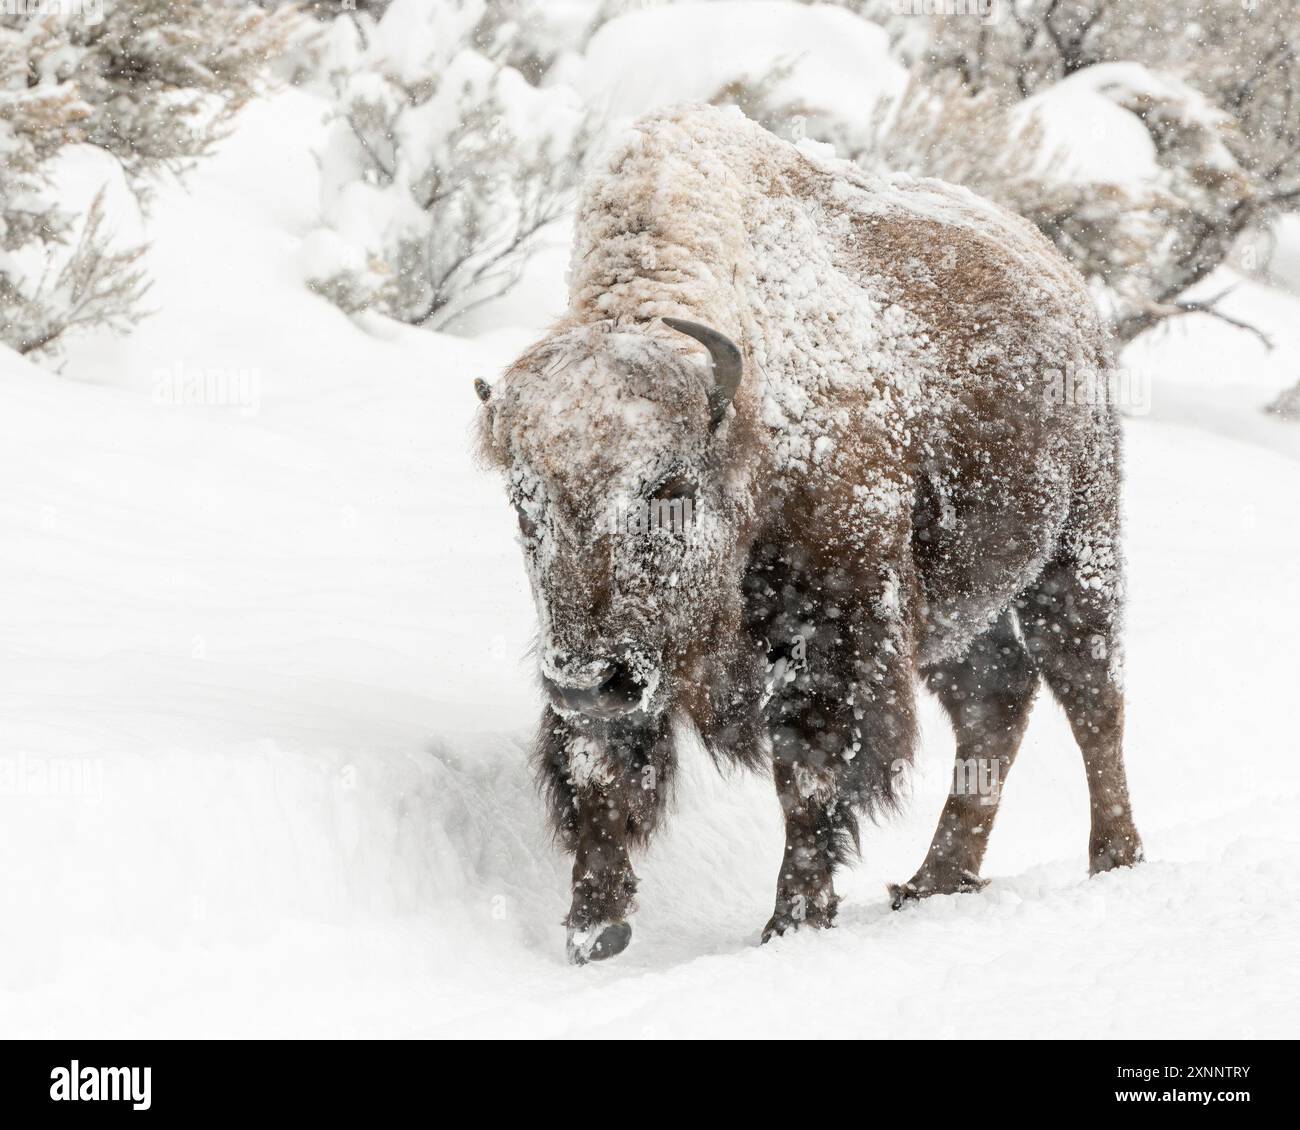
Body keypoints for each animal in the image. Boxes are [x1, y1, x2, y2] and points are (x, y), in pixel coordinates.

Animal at [475, 103, 1138, 962]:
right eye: (526, 502)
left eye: (669, 487)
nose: (589, 682)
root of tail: (1068, 288)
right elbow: (599, 770)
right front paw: (594, 926)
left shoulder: (835, 634)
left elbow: (812, 775)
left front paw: (793, 920)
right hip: (960, 615)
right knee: (995, 703)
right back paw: (933, 882)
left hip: (1076, 552)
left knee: (1092, 697)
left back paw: (1114, 858)